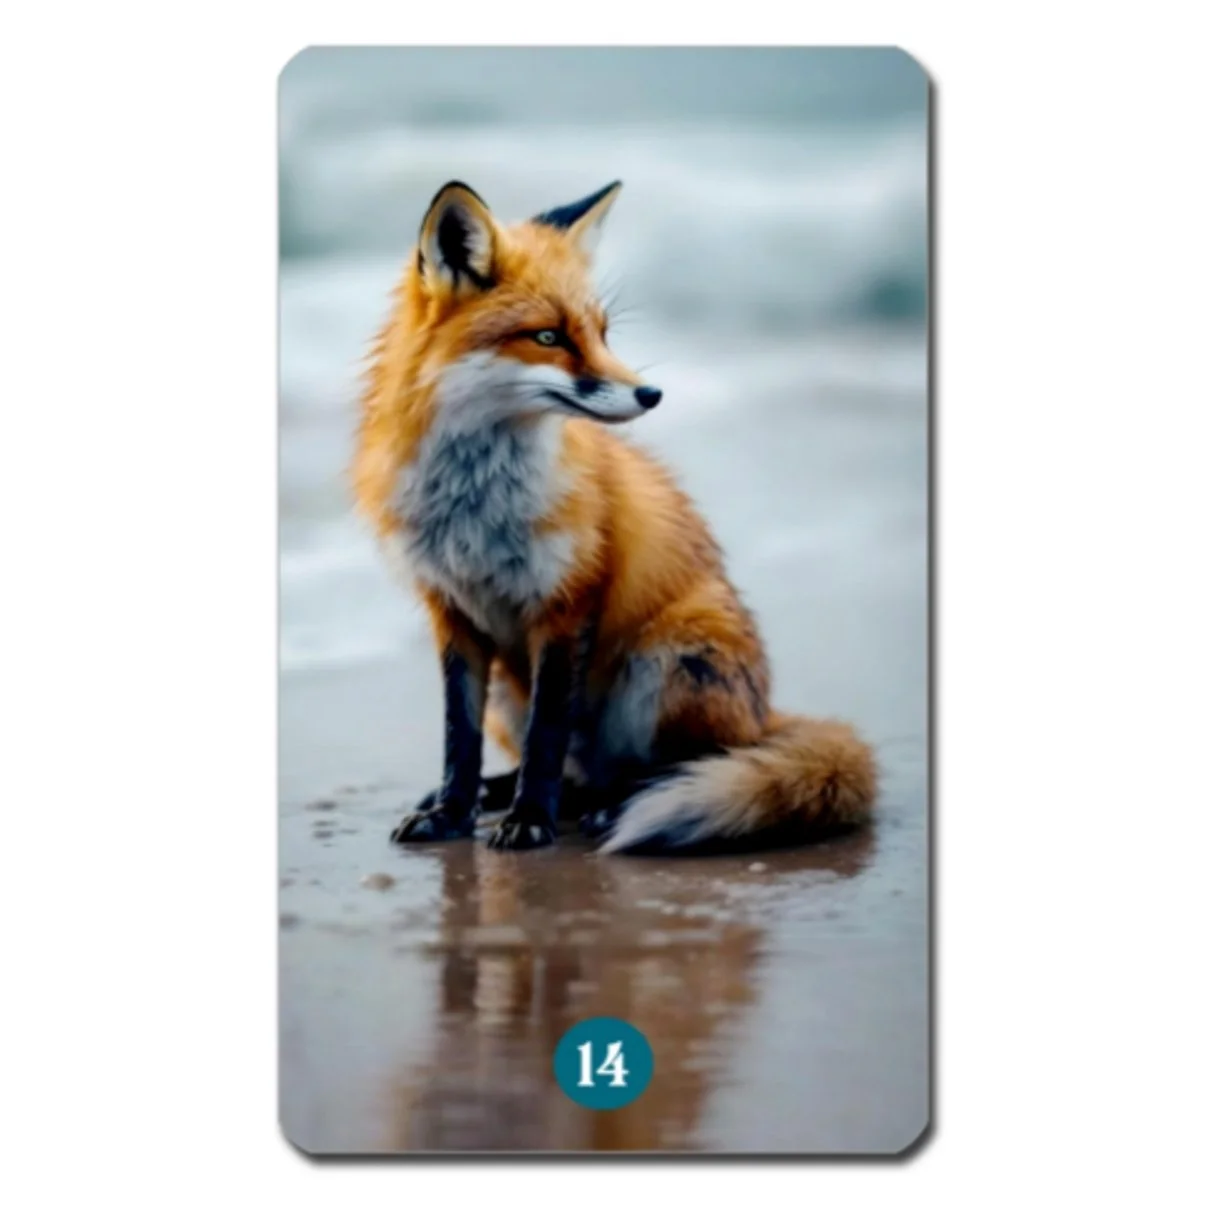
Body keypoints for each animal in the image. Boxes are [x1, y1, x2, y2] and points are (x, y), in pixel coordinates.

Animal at [352, 179, 878, 853]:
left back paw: (619, 803)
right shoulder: (452, 612)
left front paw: (530, 819)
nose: (651, 395)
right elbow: (457, 740)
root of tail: (765, 715)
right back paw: (514, 793)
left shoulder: (566, 604)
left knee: (681, 763)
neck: (475, 503)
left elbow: (547, 737)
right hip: (509, 693)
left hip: (668, 660)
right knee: (580, 772)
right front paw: (451, 813)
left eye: (603, 333)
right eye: (549, 337)